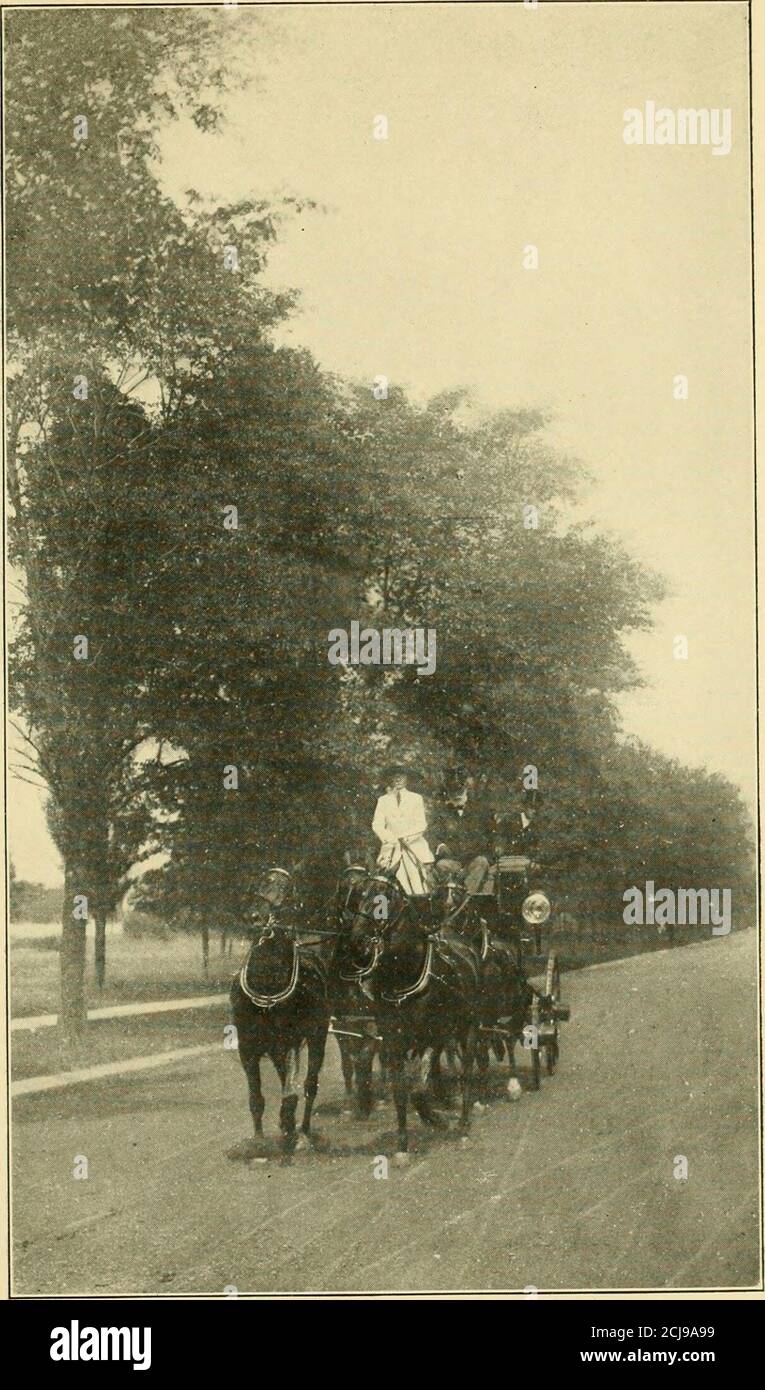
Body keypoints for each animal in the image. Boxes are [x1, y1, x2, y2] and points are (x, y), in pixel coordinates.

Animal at [228, 867, 336, 1162]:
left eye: (287, 893)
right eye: (259, 885)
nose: (255, 917)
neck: (267, 988)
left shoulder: (289, 1042)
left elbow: (290, 1093)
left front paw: (289, 1128)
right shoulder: (248, 1046)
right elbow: (256, 1098)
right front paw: (258, 1141)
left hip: (316, 1036)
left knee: (310, 1085)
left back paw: (304, 1132)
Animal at [346, 867, 478, 1162]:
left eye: (384, 899)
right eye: (359, 894)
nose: (357, 940)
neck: (404, 977)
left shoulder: (430, 1036)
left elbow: (418, 1088)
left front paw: (437, 1119)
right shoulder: (394, 1041)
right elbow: (400, 1091)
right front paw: (402, 1145)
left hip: (465, 1028)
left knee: (465, 1070)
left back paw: (464, 1124)